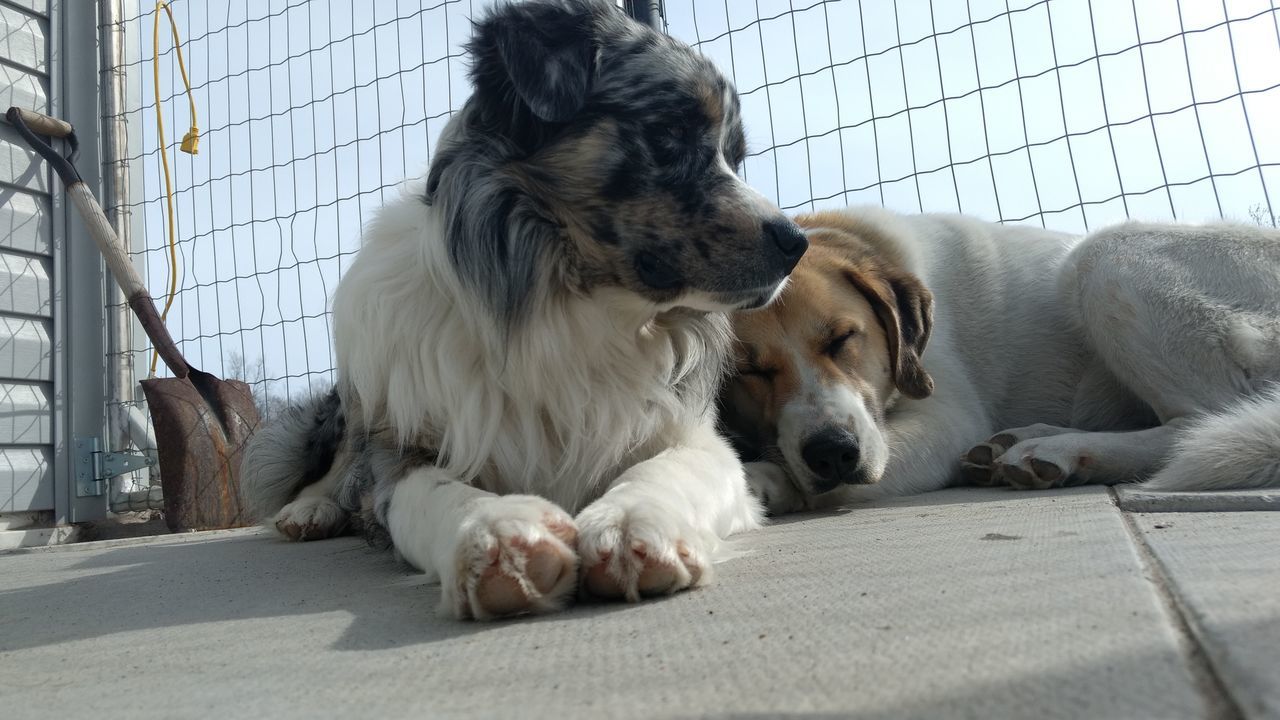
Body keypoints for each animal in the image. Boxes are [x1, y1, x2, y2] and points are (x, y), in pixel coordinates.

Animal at [727, 204, 1274, 512]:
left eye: (843, 338)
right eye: (749, 370)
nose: (833, 453)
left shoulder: (945, 422)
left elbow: (827, 484)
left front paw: (759, 481)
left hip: (1104, 255)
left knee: (1200, 421)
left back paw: (1061, 450)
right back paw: (1022, 442)